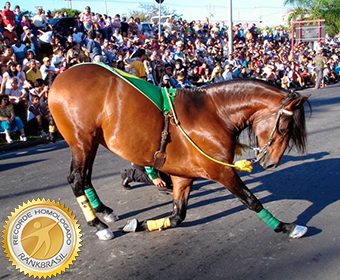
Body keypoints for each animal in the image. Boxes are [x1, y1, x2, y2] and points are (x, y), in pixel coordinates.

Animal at [48, 64, 310, 241]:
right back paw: (98, 224)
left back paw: (105, 211)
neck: (214, 112)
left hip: (90, 143)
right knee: (76, 180)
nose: (272, 162)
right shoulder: (222, 172)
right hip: (82, 142)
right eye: (285, 127)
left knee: (86, 178)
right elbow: (252, 201)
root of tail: (61, 78)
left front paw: (141, 225)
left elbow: (177, 217)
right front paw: (286, 227)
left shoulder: (183, 177)